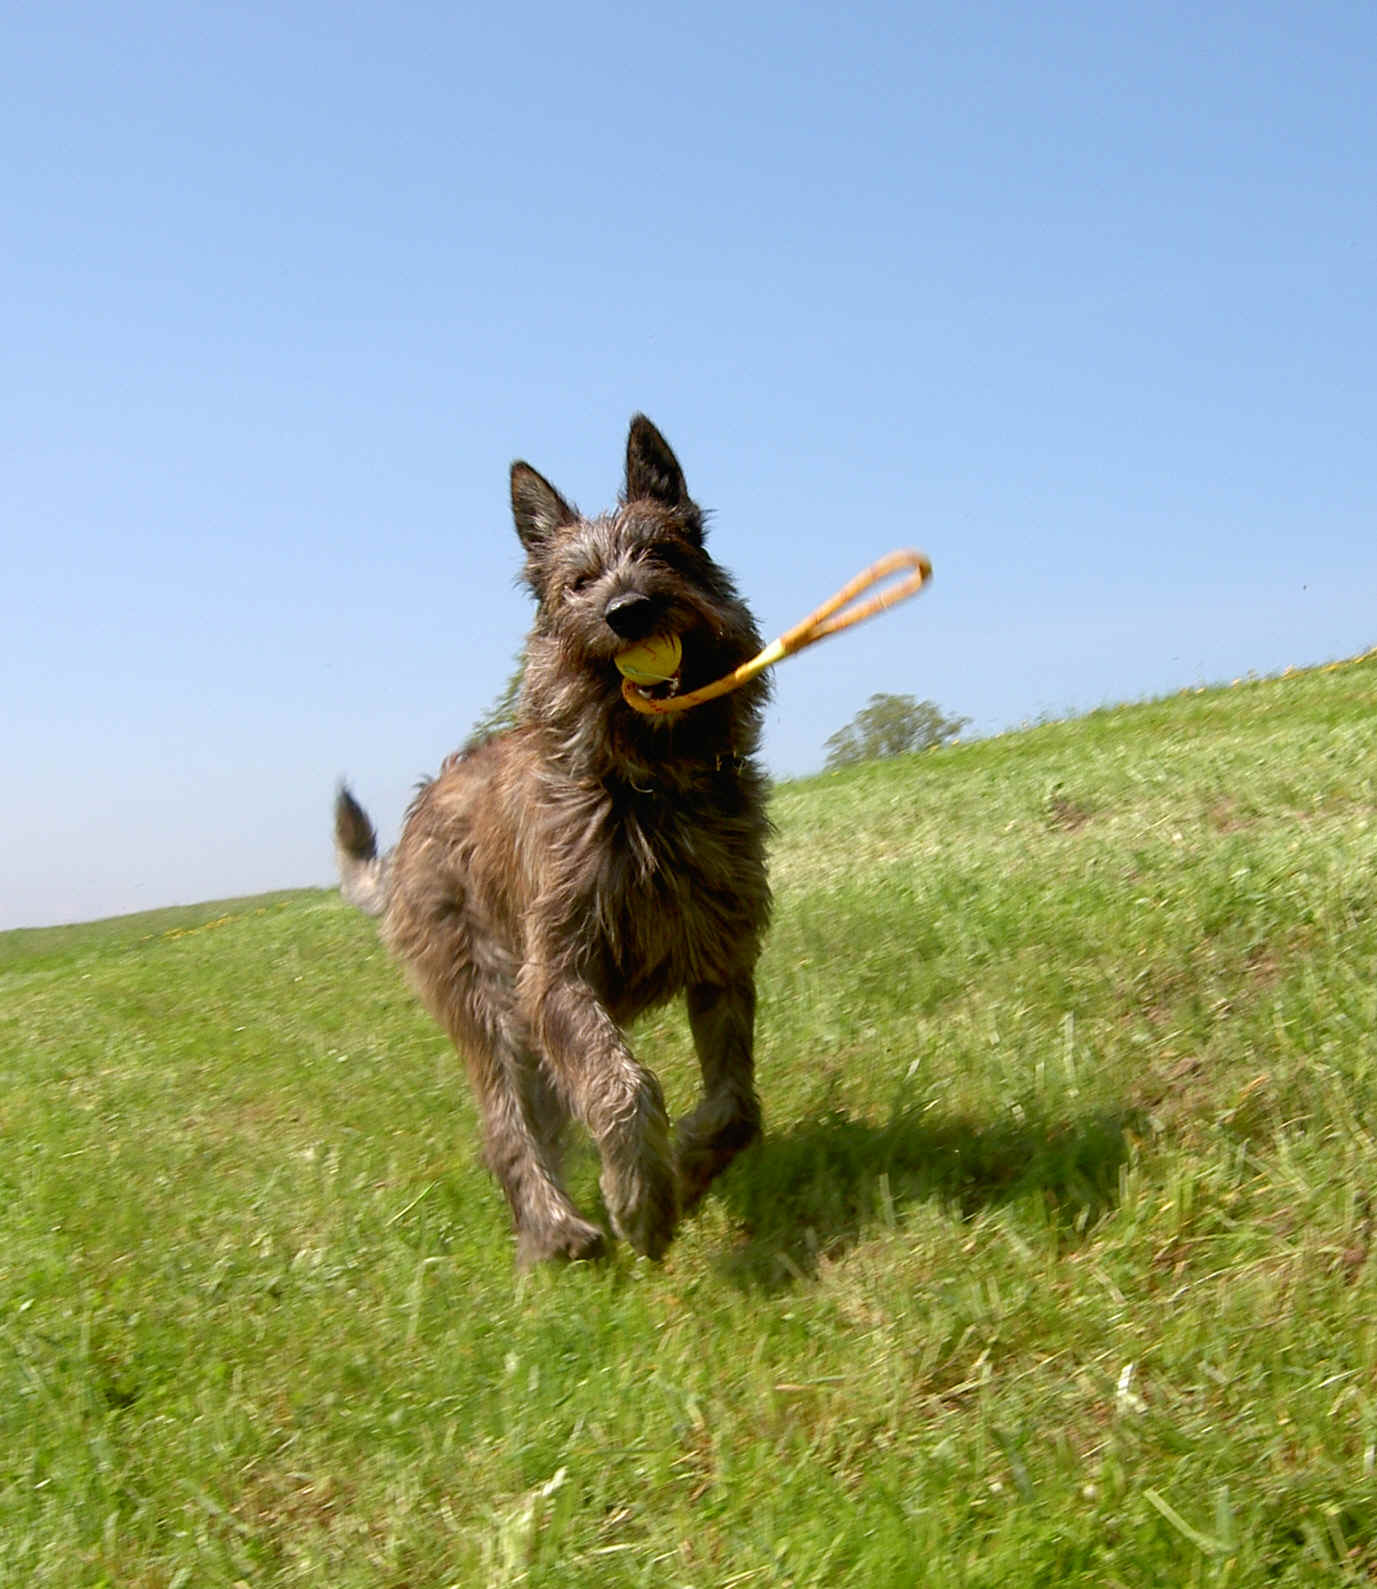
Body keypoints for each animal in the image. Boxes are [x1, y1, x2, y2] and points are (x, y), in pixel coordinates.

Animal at [331, 416, 765, 1271]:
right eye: (578, 582)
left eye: (662, 552)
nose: (628, 610)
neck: (646, 783)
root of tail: (405, 840)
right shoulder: (556, 974)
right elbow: (622, 1086)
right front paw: (642, 1201)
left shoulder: (722, 958)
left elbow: (736, 1105)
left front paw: (687, 1167)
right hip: (491, 1009)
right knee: (507, 1131)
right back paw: (556, 1231)